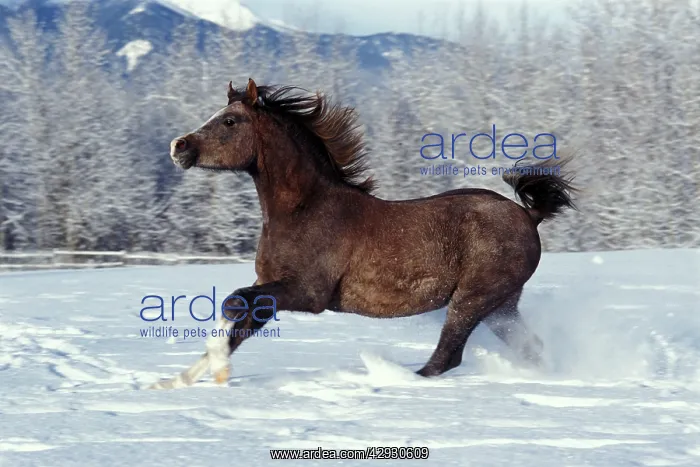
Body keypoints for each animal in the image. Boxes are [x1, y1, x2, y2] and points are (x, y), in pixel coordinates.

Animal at [150, 78, 577, 389]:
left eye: (229, 121)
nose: (178, 146)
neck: (305, 209)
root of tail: (529, 215)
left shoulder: (308, 293)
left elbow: (235, 302)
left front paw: (216, 370)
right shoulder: (270, 285)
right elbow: (240, 320)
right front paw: (173, 383)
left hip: (474, 298)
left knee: (447, 356)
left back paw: (390, 378)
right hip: (501, 307)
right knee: (529, 348)